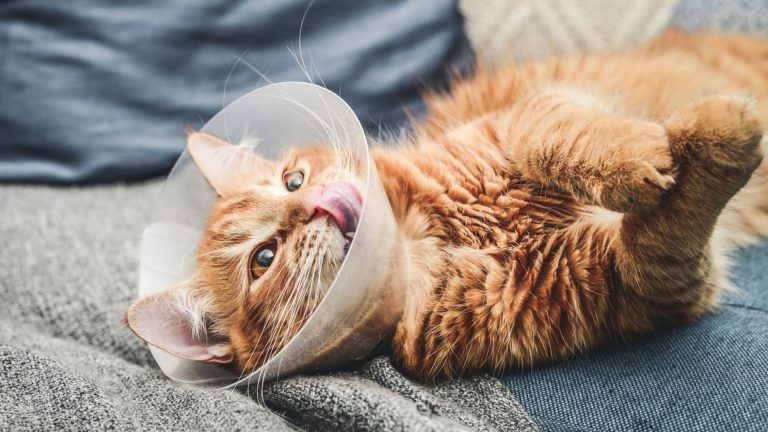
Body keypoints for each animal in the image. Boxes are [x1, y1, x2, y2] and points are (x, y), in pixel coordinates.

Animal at [126, 31, 768, 382]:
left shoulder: (520, 118)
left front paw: (647, 153)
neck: (435, 235)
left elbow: (559, 135)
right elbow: (668, 226)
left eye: (292, 180)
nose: (315, 203)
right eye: (263, 259)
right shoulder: (640, 281)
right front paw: (717, 135)